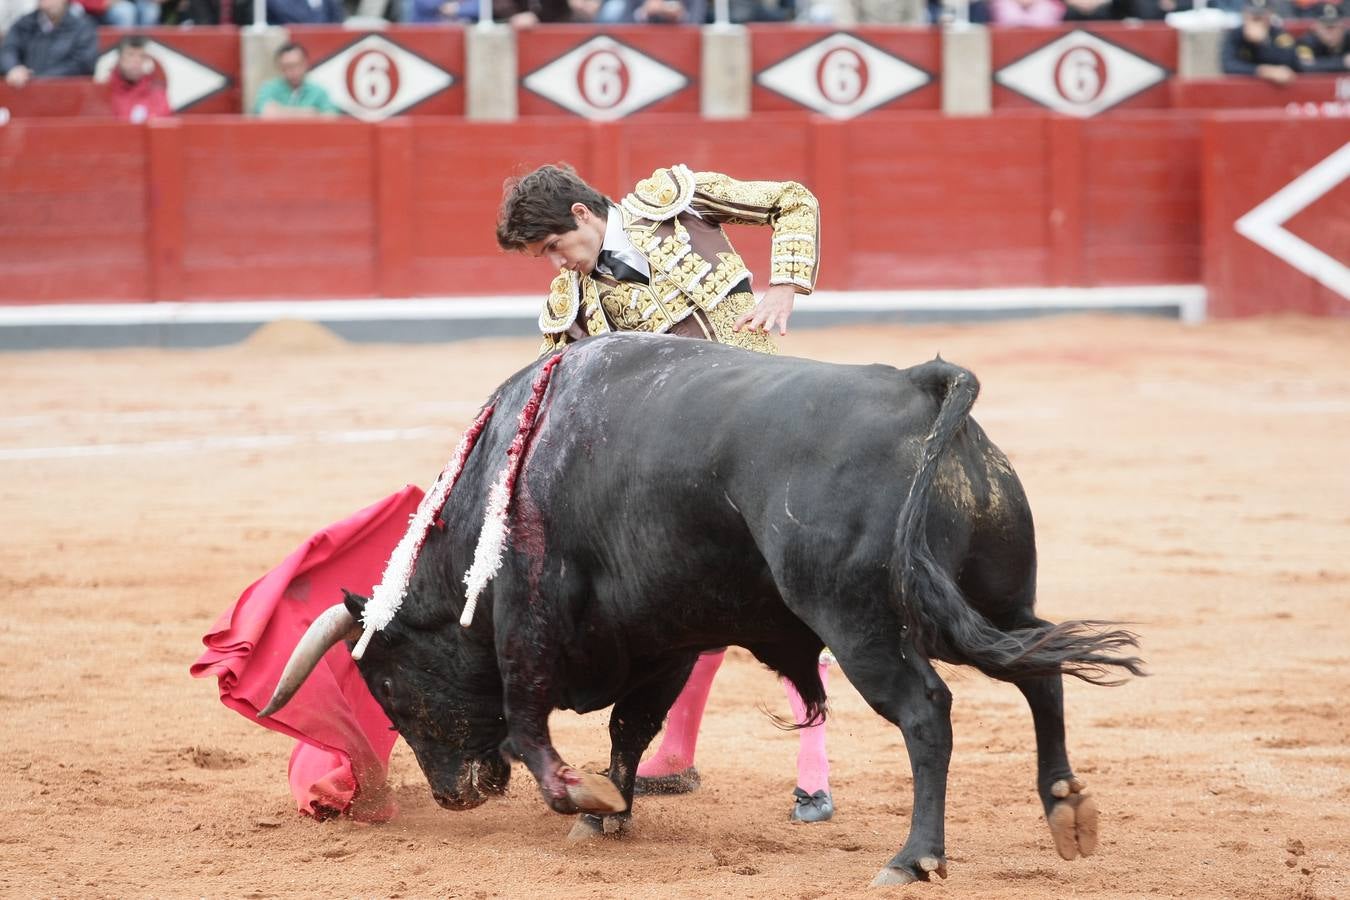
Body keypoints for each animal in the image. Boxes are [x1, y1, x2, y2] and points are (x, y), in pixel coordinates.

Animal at [263, 333, 1139, 885]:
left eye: (387, 687)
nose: (455, 795)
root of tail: (919, 390)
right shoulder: (664, 635)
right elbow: (631, 727)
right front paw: (608, 813)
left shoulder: (529, 618)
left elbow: (528, 718)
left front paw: (580, 798)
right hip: (989, 599)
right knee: (1040, 669)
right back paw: (1067, 810)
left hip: (864, 621)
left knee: (928, 712)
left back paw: (912, 859)